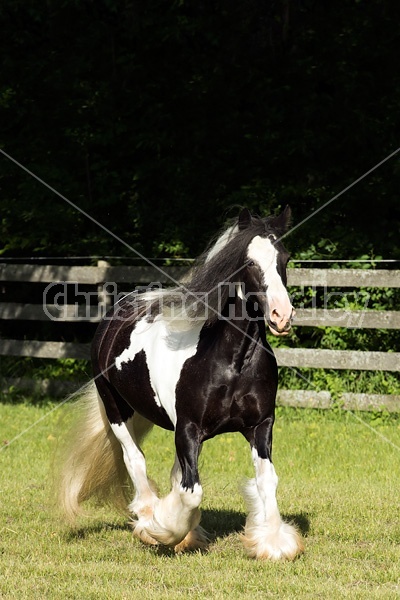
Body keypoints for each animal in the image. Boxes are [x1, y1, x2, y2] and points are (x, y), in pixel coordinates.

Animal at [59, 209, 304, 560]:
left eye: (285, 258)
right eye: (249, 262)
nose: (281, 315)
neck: (229, 362)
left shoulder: (260, 425)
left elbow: (266, 479)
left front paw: (272, 543)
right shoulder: (189, 428)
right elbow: (191, 492)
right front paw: (162, 531)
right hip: (116, 409)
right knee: (135, 460)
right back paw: (149, 519)